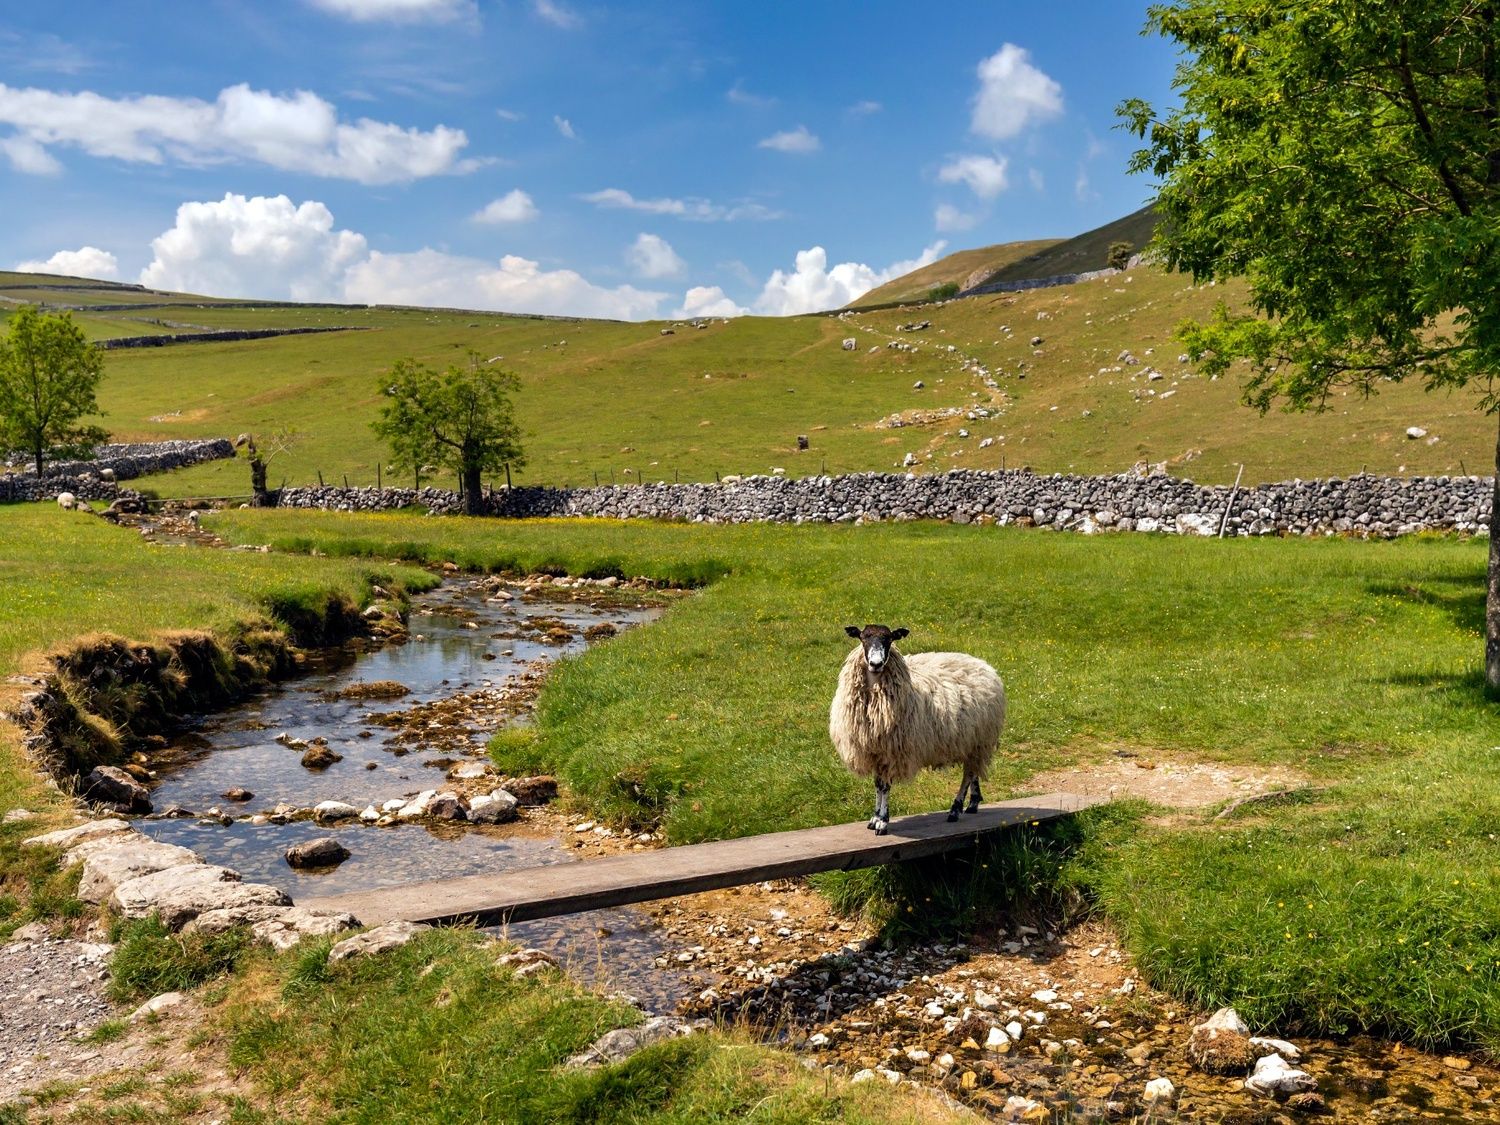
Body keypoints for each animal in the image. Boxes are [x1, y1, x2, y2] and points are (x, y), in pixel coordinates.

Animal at [829, 624, 1006, 835]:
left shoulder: (891, 752)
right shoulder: (875, 752)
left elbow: (885, 786)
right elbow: (877, 785)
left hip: (980, 740)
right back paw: (973, 802)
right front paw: (874, 817)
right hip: (970, 741)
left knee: (968, 774)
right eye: (863, 638)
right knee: (973, 771)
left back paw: (955, 809)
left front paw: (882, 821)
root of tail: (984, 665)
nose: (876, 663)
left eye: (889, 639)